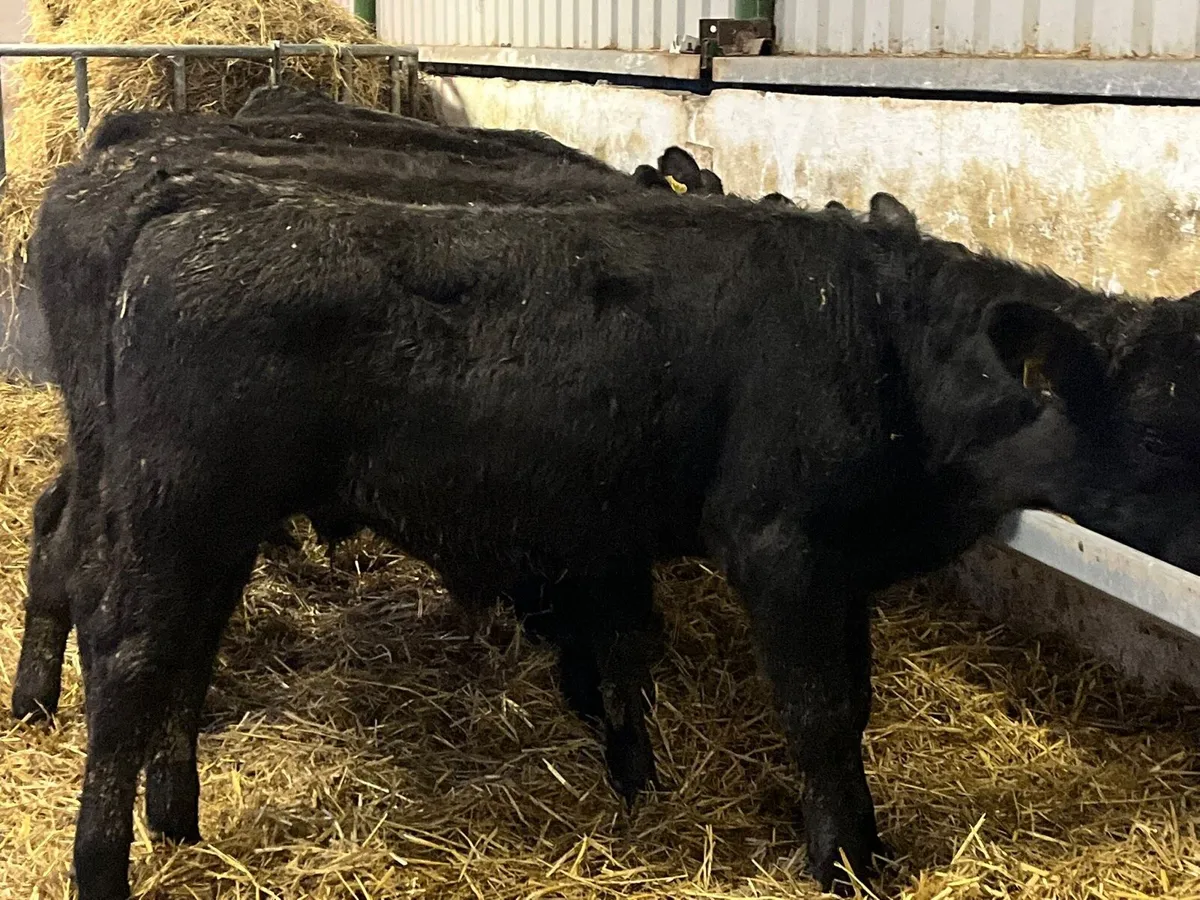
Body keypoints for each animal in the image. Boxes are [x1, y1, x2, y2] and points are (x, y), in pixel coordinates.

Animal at [27, 135, 1200, 900]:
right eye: (1162, 430)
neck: (880, 341)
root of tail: (189, 203)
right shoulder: (781, 546)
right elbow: (820, 714)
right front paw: (841, 863)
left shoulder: (829, 565)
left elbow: (816, 698)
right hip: (174, 501)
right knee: (127, 650)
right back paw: (100, 859)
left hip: (210, 523)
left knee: (181, 644)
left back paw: (177, 823)